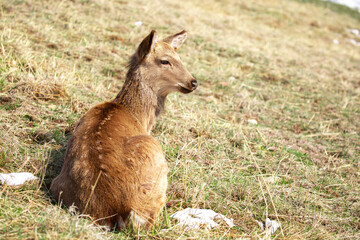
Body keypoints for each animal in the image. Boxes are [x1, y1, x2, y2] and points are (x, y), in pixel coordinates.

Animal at [49, 30, 197, 231]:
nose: (193, 82)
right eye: (165, 61)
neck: (138, 116)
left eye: (179, 57)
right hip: (157, 162)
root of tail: (116, 211)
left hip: (56, 185)